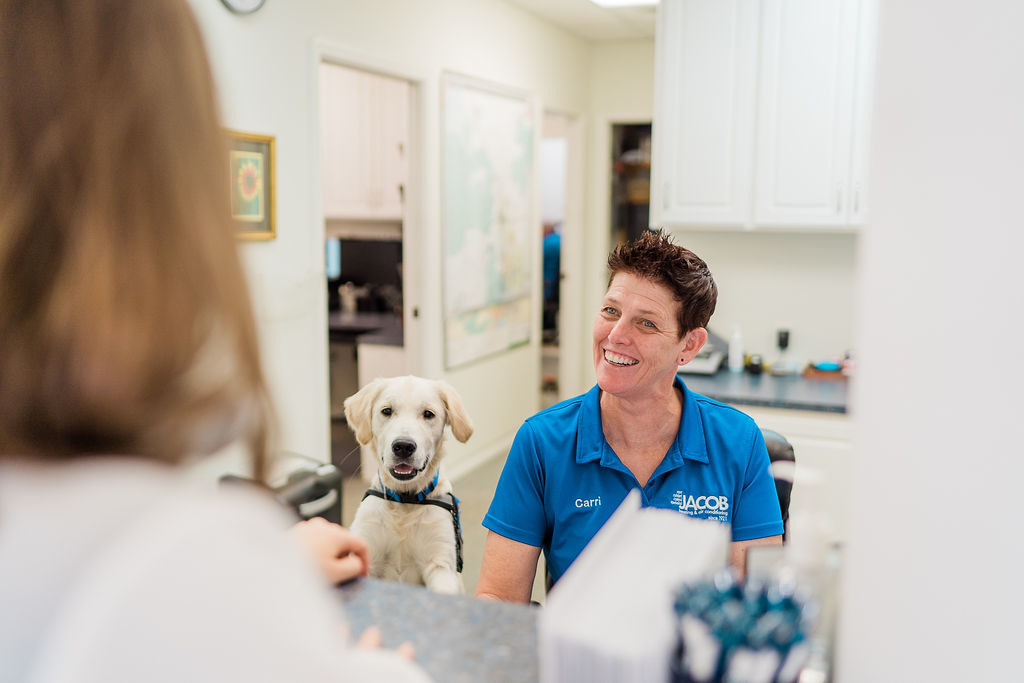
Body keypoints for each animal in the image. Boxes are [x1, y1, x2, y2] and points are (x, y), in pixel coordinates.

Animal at [342, 374, 473, 593]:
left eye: (428, 414)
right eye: (386, 411)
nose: (403, 446)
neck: (405, 501)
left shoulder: (440, 564)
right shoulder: (367, 553)